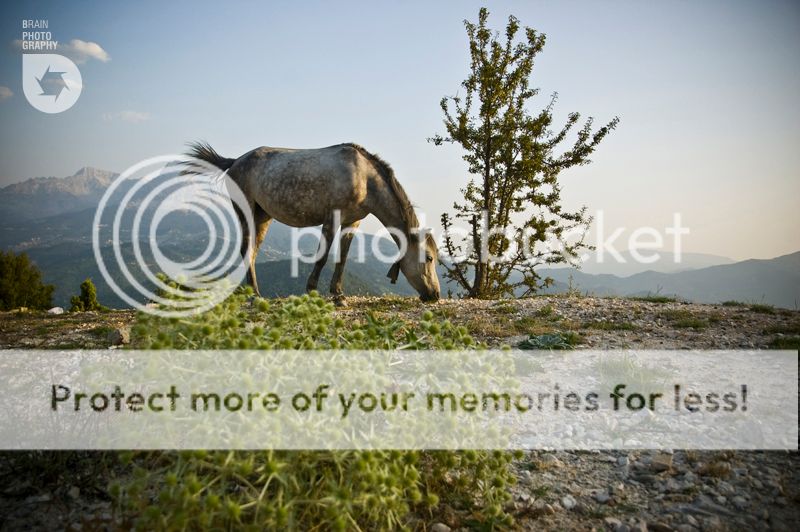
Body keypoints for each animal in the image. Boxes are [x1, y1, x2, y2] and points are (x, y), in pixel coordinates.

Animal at [185, 142, 440, 304]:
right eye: (428, 258)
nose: (435, 295)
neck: (365, 178)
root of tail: (235, 161)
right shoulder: (332, 218)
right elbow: (323, 256)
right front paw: (311, 291)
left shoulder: (352, 222)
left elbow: (342, 258)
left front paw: (338, 295)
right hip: (245, 211)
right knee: (246, 250)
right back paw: (254, 295)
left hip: (263, 216)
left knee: (253, 251)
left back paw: (253, 292)